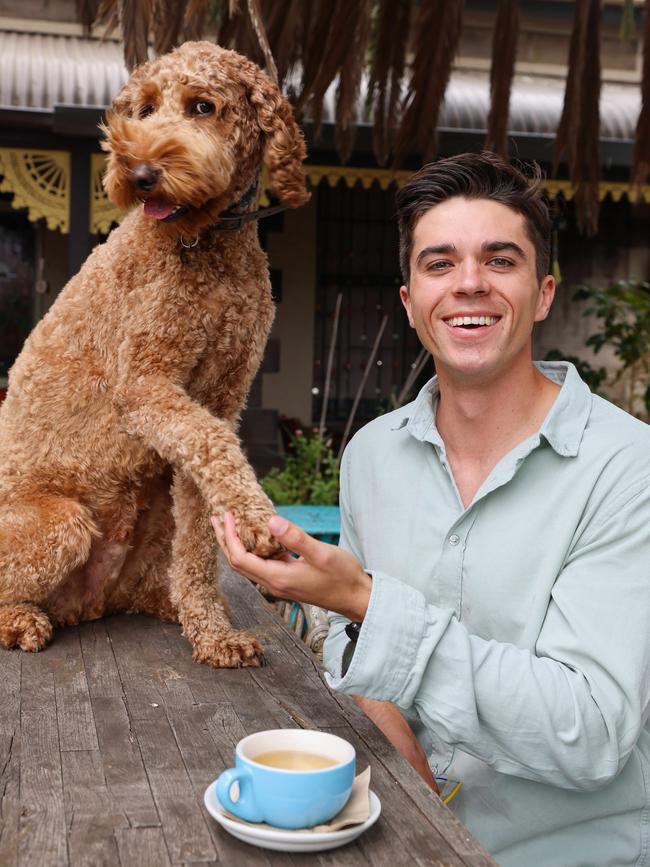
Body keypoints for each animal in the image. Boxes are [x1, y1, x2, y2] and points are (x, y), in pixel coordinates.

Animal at [0, 40, 308, 668]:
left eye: (202, 106)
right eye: (142, 109)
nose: (138, 175)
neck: (207, 246)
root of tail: (86, 606)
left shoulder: (213, 402)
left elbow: (200, 522)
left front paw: (213, 633)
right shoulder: (146, 390)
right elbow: (215, 447)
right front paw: (256, 518)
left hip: (149, 511)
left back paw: (170, 606)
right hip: (62, 521)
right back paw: (20, 620)